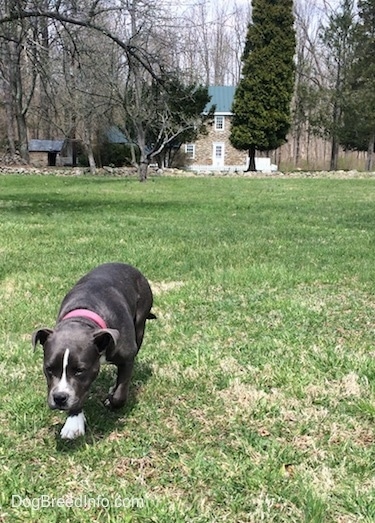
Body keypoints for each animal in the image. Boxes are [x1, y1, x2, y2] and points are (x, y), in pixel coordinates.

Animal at [32, 264, 156, 440]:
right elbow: (78, 393)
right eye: (49, 369)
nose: (59, 397)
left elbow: (120, 394)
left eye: (79, 370)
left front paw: (112, 399)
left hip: (140, 324)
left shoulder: (127, 358)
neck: (83, 318)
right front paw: (73, 421)